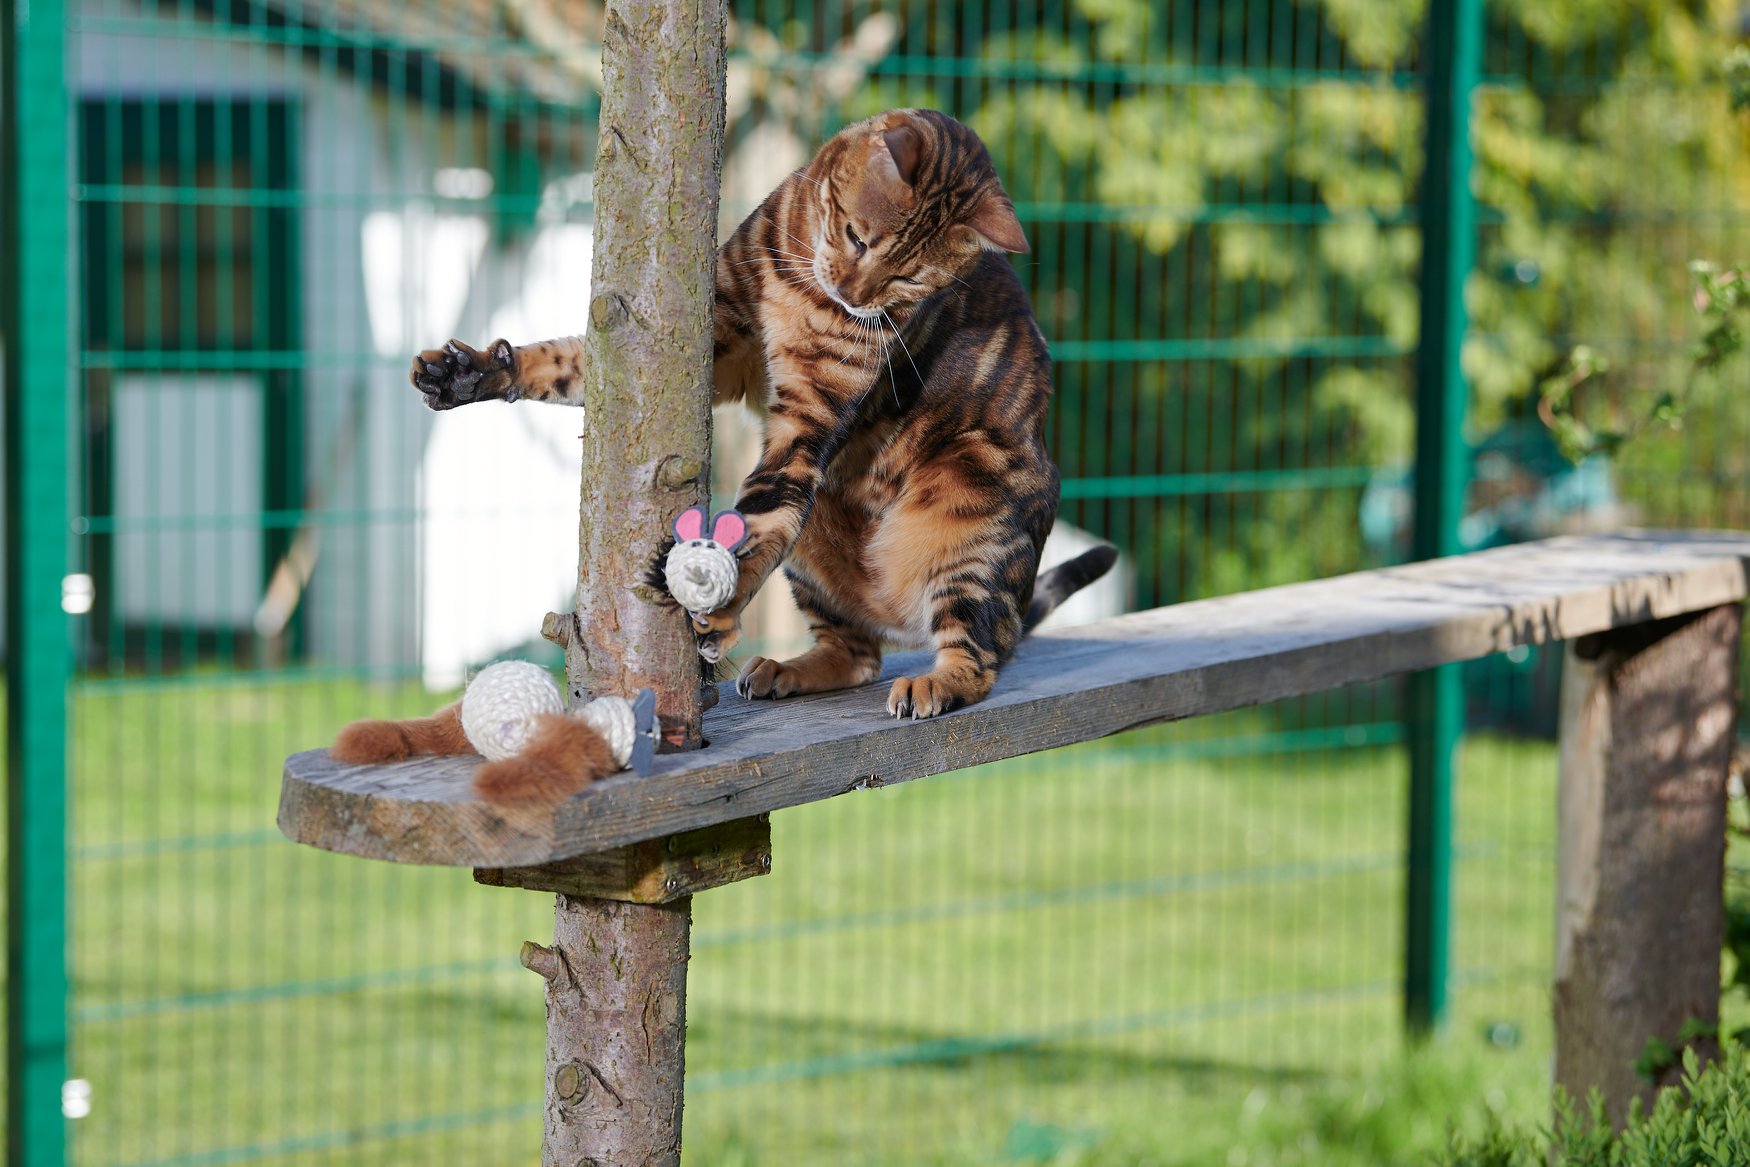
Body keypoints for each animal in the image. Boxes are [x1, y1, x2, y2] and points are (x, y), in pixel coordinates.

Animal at [413, 109, 1106, 717]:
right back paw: (786, 668)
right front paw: (472, 371)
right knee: (858, 653)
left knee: (978, 653)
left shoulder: (808, 424)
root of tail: (897, 615)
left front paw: (718, 596)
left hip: (969, 524)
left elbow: (760, 515)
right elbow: (564, 361)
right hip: (821, 543)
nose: (853, 295)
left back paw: (935, 683)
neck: (803, 293)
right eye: (857, 236)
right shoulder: (720, 343)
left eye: (908, 279)